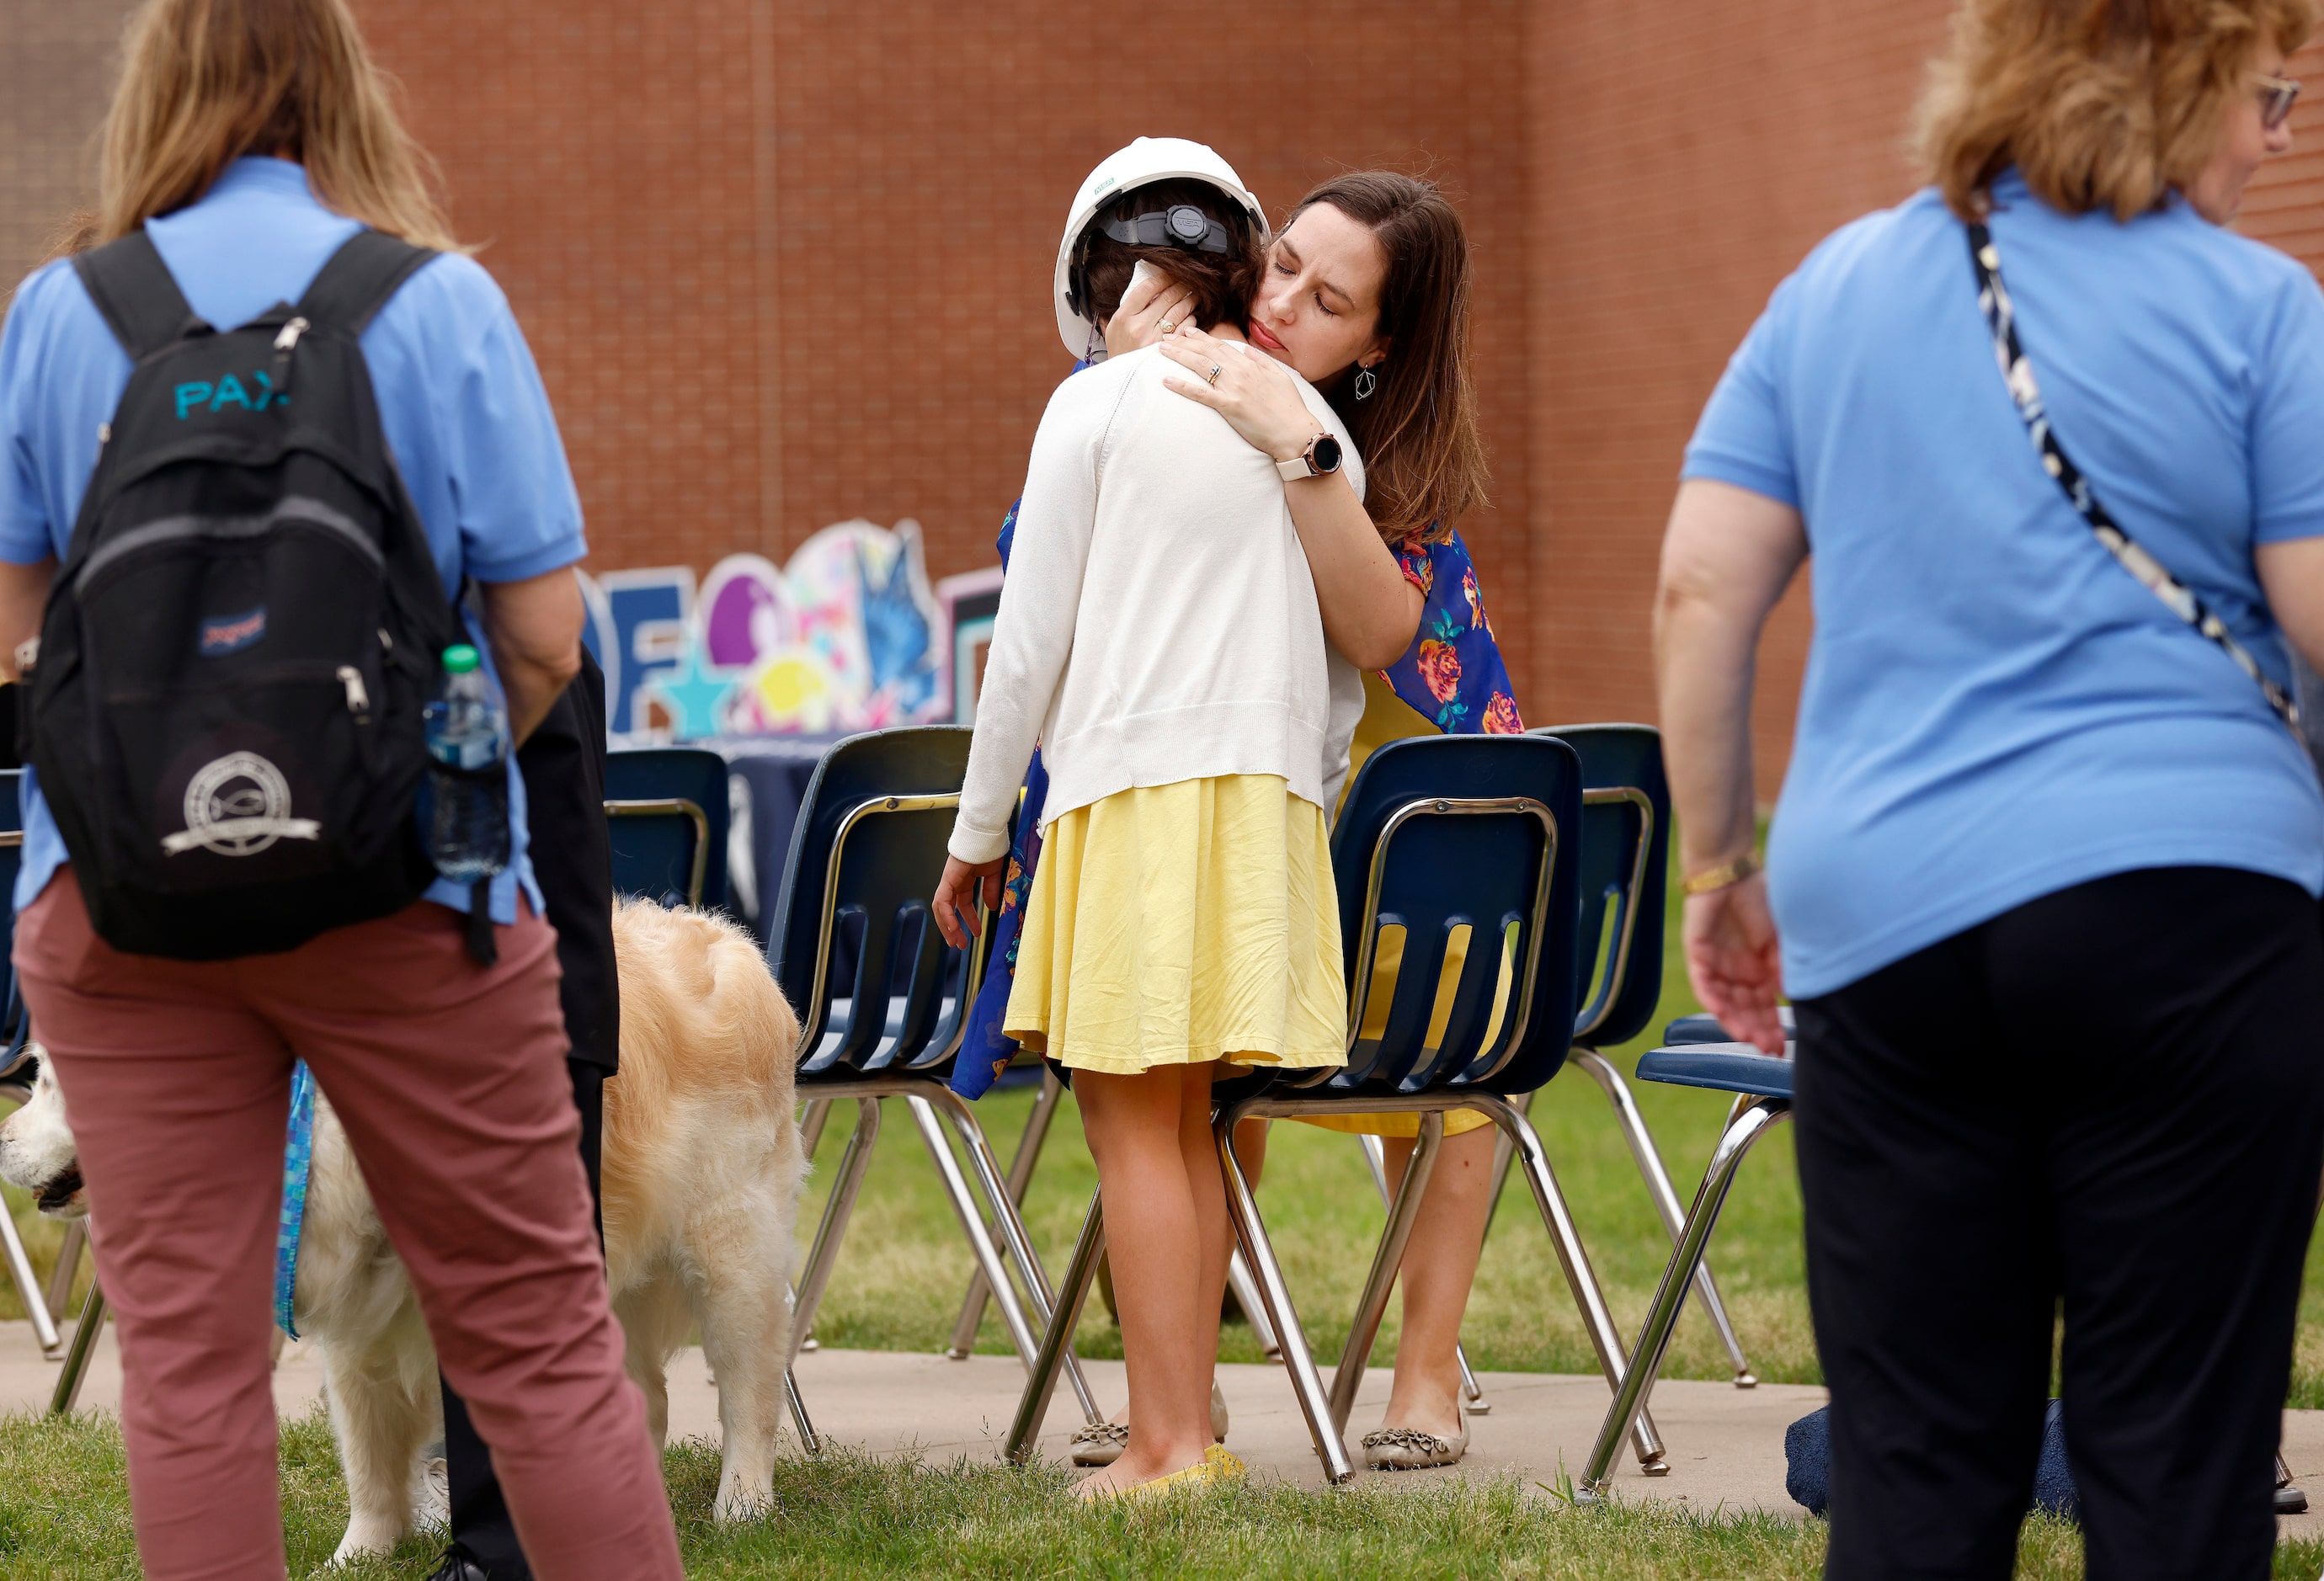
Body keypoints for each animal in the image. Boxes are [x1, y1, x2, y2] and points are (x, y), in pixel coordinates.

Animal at [0, 897, 808, 1562]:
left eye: (51, 1087)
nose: (0, 1137)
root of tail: (724, 936)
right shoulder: (360, 1320)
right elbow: (370, 1457)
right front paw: (360, 1555)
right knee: (646, 1394)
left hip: (731, 1256)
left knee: (749, 1388)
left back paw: (742, 1506)